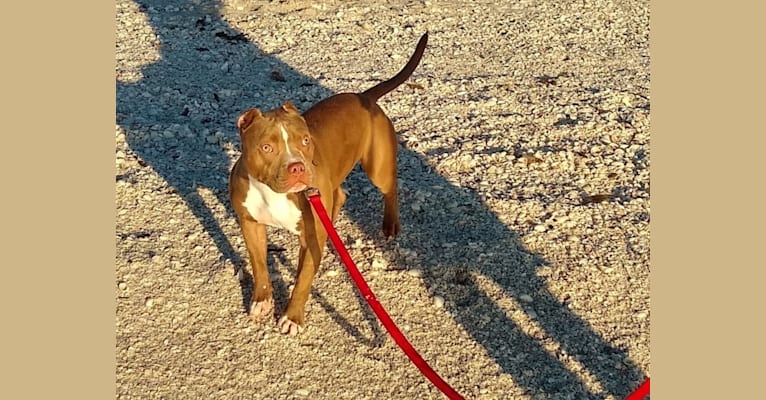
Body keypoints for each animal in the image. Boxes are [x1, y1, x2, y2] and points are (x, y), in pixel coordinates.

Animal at [228, 32, 432, 336]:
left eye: (304, 140)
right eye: (266, 147)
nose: (298, 167)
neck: (273, 193)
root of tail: (364, 96)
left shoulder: (309, 239)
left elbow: (302, 281)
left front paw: (292, 317)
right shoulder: (250, 223)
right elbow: (259, 264)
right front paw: (262, 300)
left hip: (378, 168)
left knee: (390, 188)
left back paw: (390, 224)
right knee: (339, 195)